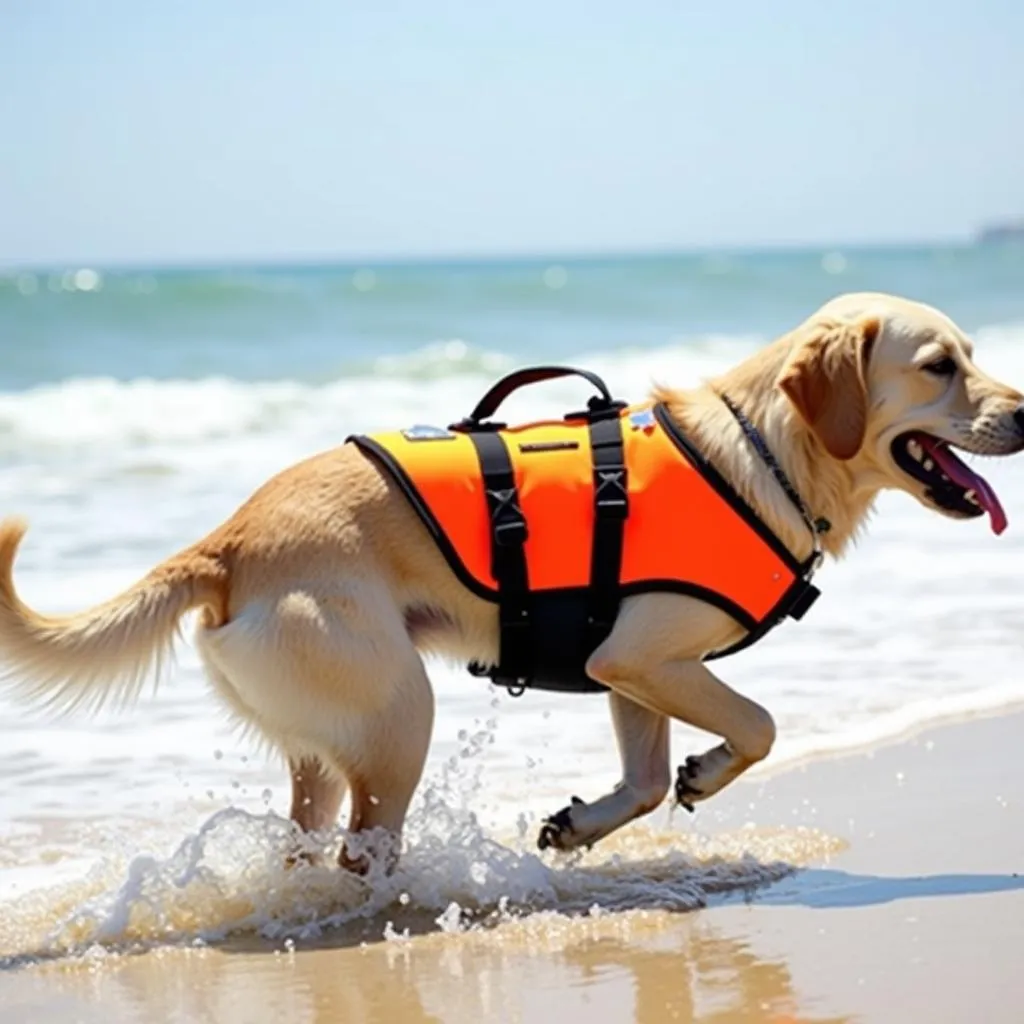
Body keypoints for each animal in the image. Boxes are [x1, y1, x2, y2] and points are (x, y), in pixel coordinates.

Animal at [2, 292, 1024, 868]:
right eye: (940, 366)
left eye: (973, 356)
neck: (765, 451)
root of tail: (229, 542)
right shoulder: (647, 656)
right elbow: (761, 724)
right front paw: (706, 767)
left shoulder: (627, 670)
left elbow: (645, 781)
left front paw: (589, 822)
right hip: (399, 712)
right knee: (363, 853)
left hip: (325, 743)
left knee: (309, 850)